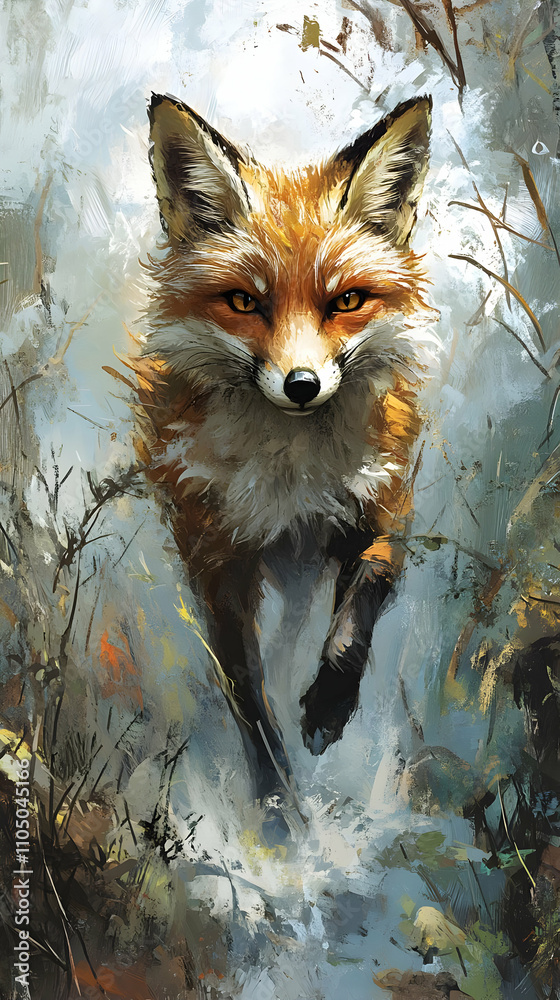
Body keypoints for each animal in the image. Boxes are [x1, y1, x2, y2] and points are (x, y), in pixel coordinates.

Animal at [129, 92, 433, 813]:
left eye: (346, 300)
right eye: (244, 302)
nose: (301, 385)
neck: (294, 478)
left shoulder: (387, 511)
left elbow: (356, 612)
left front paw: (327, 707)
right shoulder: (214, 556)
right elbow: (246, 691)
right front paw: (275, 801)